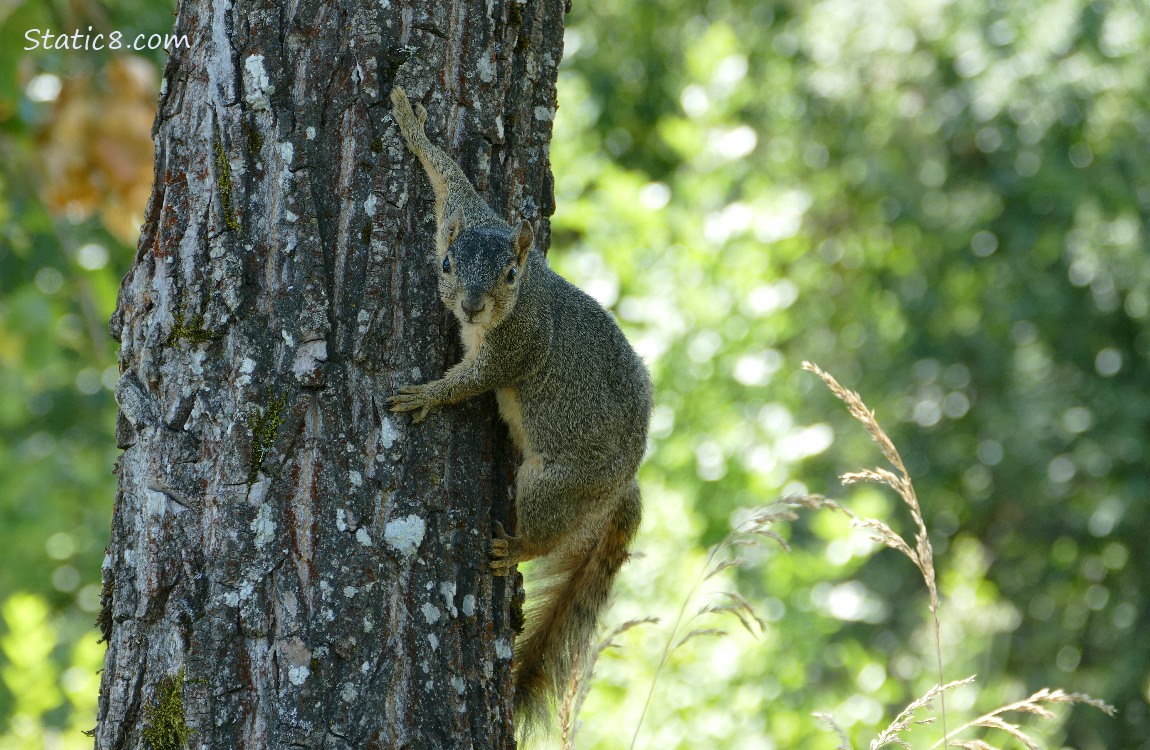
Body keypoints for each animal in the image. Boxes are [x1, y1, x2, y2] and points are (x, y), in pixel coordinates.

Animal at [387, 86, 653, 734]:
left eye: (509, 273)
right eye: (447, 265)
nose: (472, 305)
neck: (523, 295)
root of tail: (624, 484)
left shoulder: (513, 350)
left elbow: (471, 382)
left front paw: (424, 395)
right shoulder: (469, 220)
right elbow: (454, 185)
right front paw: (414, 125)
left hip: (551, 483)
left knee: (546, 533)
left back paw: (516, 550)